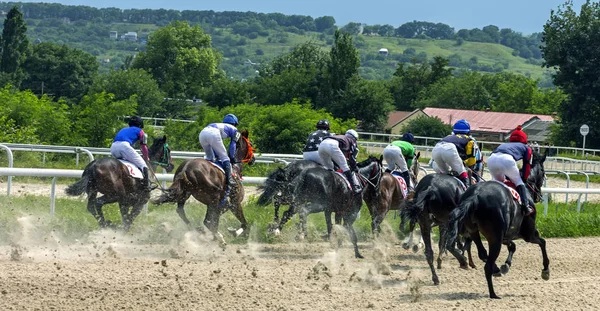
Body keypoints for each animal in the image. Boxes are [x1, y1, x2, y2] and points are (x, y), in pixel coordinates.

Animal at [446, 153, 548, 300]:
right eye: (543, 172)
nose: (539, 196)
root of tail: (475, 196)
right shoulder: (528, 234)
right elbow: (542, 242)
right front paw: (545, 271)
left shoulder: (506, 236)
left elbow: (513, 246)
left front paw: (505, 266)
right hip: (495, 238)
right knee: (487, 265)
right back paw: (493, 293)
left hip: (475, 231)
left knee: (483, 253)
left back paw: (493, 270)